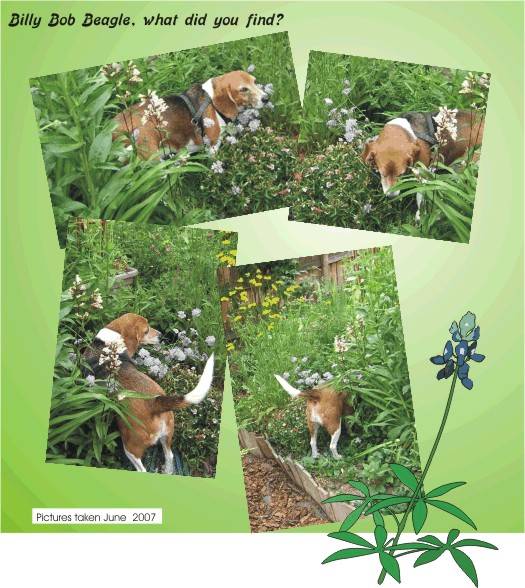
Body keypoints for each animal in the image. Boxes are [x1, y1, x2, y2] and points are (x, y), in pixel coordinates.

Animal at [83, 312, 214, 474]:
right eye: (146, 330)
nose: (161, 336)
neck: (109, 342)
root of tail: (156, 402)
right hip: (167, 435)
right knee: (169, 456)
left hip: (131, 447)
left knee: (141, 469)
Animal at [113, 70, 268, 158]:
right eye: (243, 89)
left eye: (255, 82)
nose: (267, 98)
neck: (212, 100)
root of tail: (115, 127)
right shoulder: (212, 147)